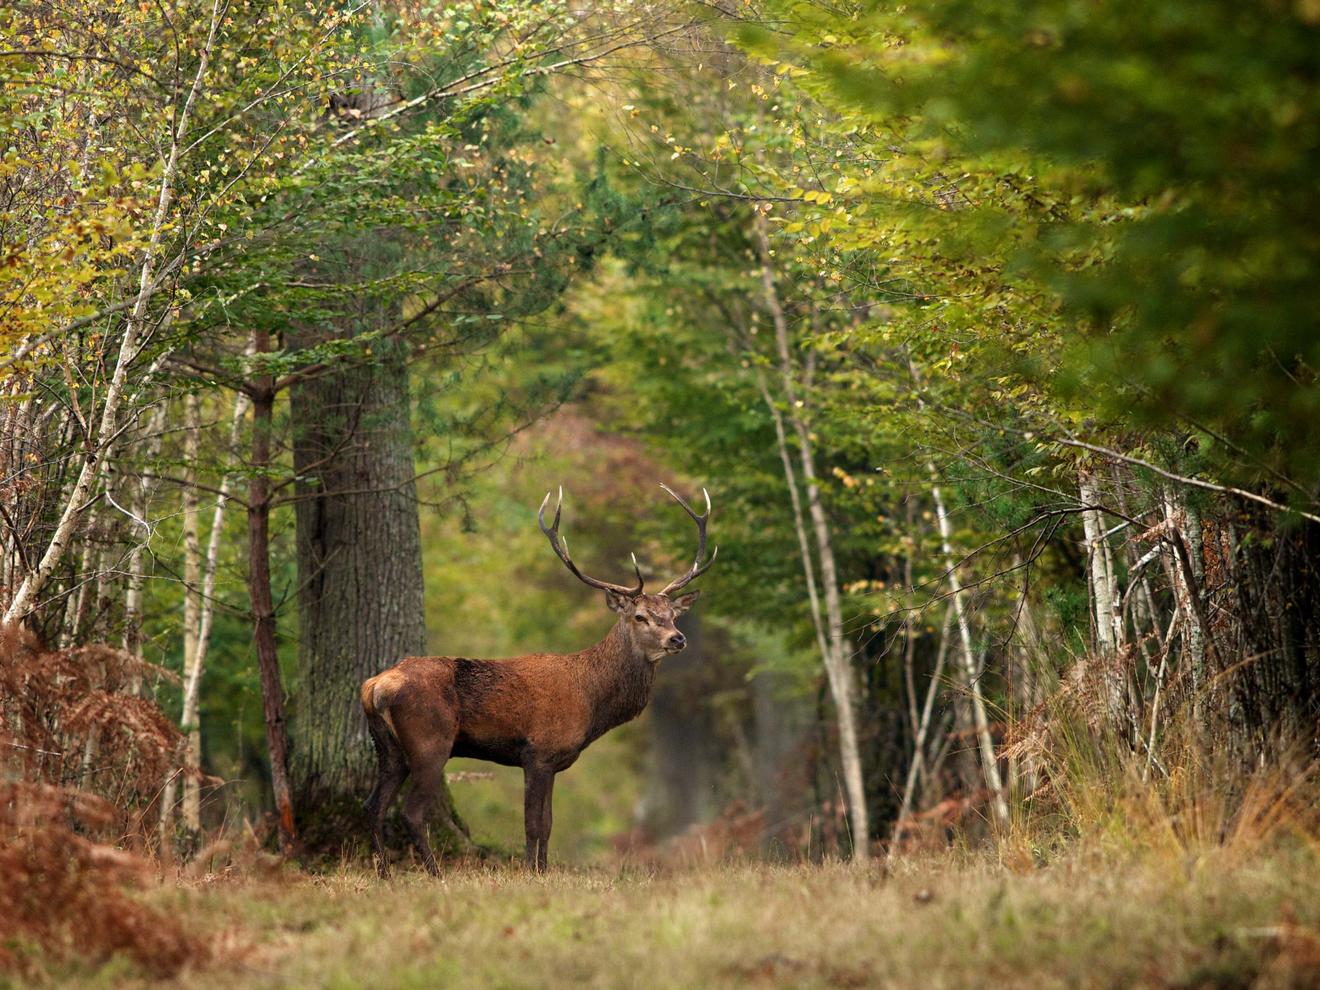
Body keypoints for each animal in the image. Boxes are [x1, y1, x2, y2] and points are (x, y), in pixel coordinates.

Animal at [360, 483, 717, 875]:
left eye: (672, 615)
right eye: (640, 617)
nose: (678, 639)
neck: (591, 699)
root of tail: (375, 687)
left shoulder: (555, 761)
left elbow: (548, 824)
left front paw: (542, 870)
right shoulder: (538, 752)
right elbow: (533, 824)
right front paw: (531, 872)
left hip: (388, 748)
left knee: (372, 807)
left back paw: (384, 873)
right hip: (430, 742)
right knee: (410, 812)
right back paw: (435, 873)